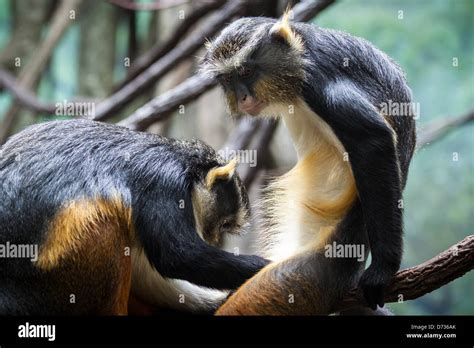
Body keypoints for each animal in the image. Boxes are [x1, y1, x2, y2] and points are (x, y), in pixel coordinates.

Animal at [0, 118, 266, 314]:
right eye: (223, 224)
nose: (213, 239)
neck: (182, 161)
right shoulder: (164, 183)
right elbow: (178, 256)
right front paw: (262, 265)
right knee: (107, 228)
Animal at [202, 11, 416, 316]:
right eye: (229, 78)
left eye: (245, 72)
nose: (242, 97)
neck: (297, 55)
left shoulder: (319, 82)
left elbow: (373, 140)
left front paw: (382, 271)